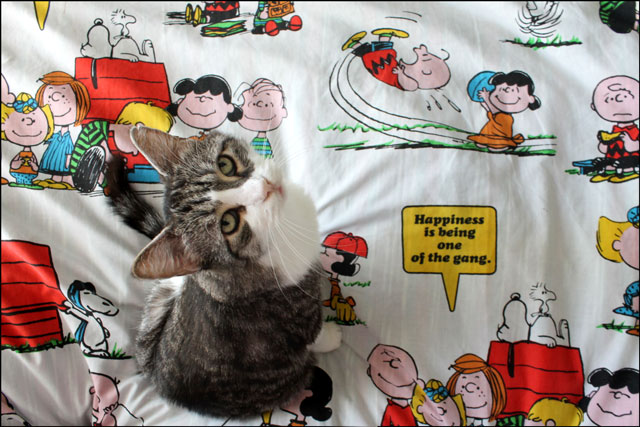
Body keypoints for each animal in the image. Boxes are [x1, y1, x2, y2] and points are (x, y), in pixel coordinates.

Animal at [106, 125, 339, 418]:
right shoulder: (298, 315)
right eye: (228, 223)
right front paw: (332, 336)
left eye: (225, 164)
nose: (266, 186)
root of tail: (157, 380)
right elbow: (315, 334)